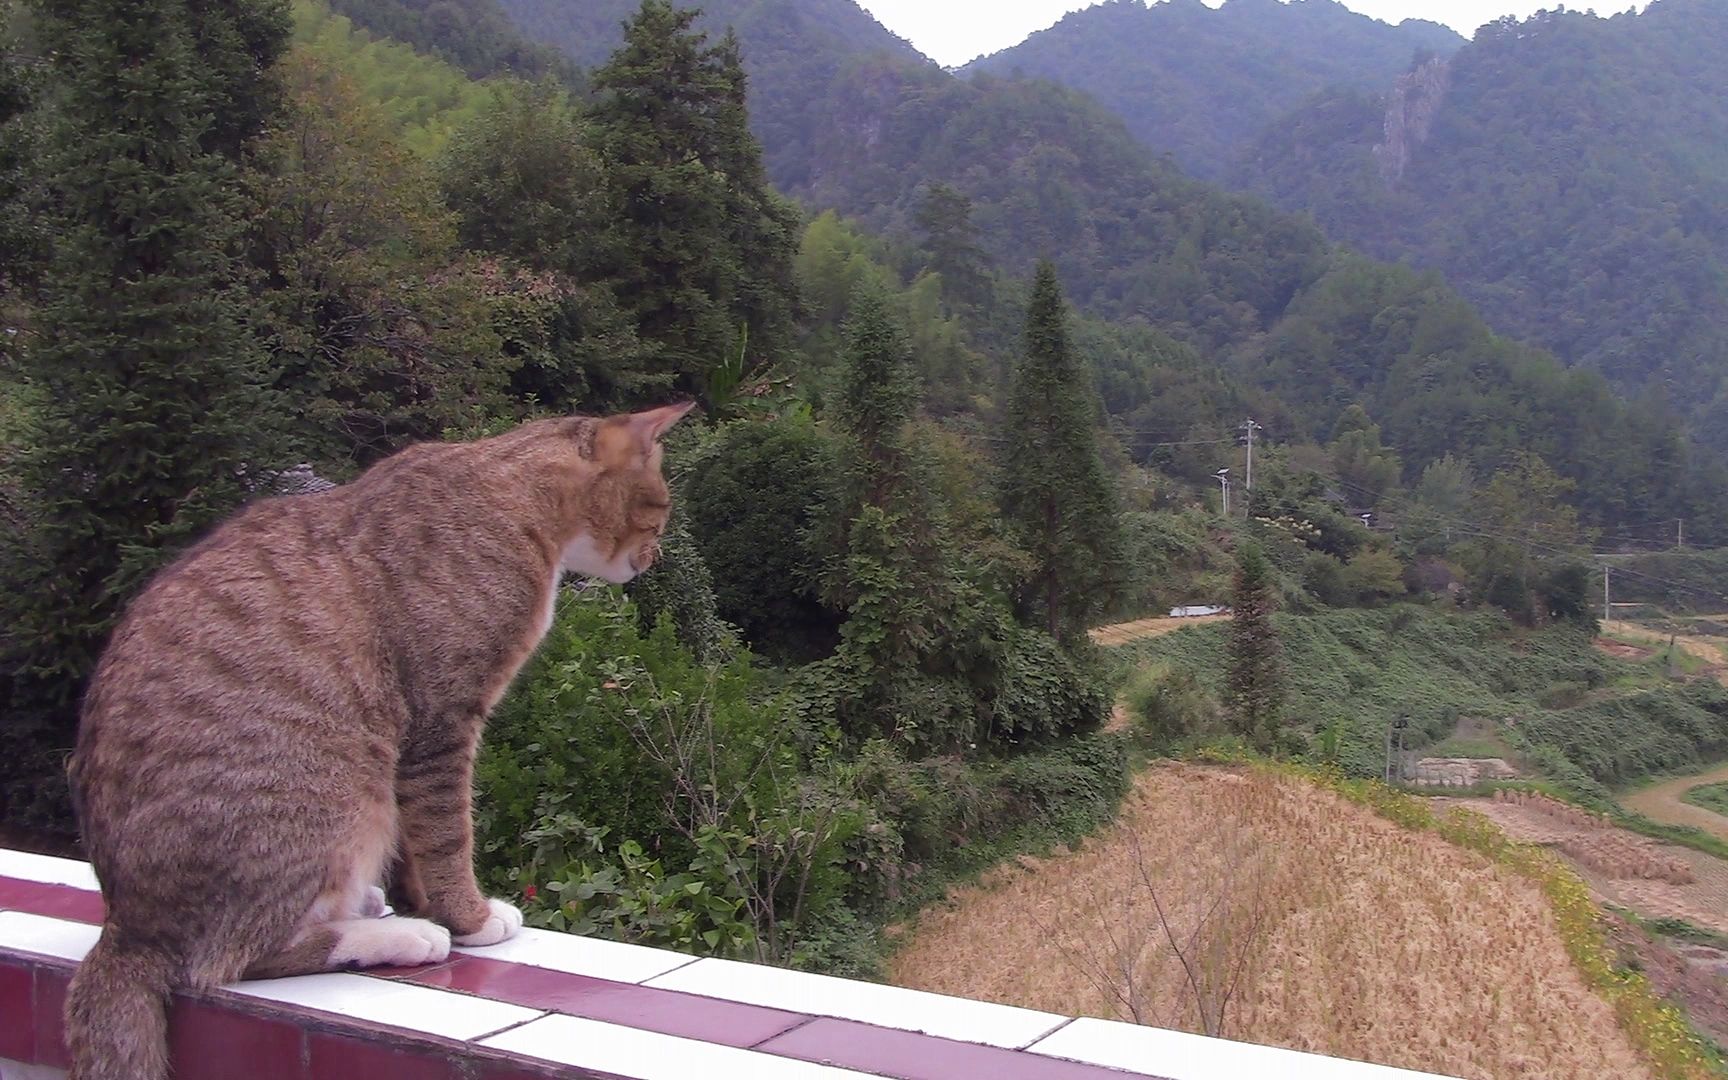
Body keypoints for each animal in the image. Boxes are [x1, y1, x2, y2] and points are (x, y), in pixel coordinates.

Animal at [62, 404, 694, 1078]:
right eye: (659, 511)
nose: (653, 558)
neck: (513, 494)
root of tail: (128, 933)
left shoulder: (421, 743)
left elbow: (418, 844)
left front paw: (421, 900)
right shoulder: (443, 720)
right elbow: (447, 835)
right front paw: (469, 919)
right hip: (333, 794)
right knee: (230, 958)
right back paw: (400, 937)